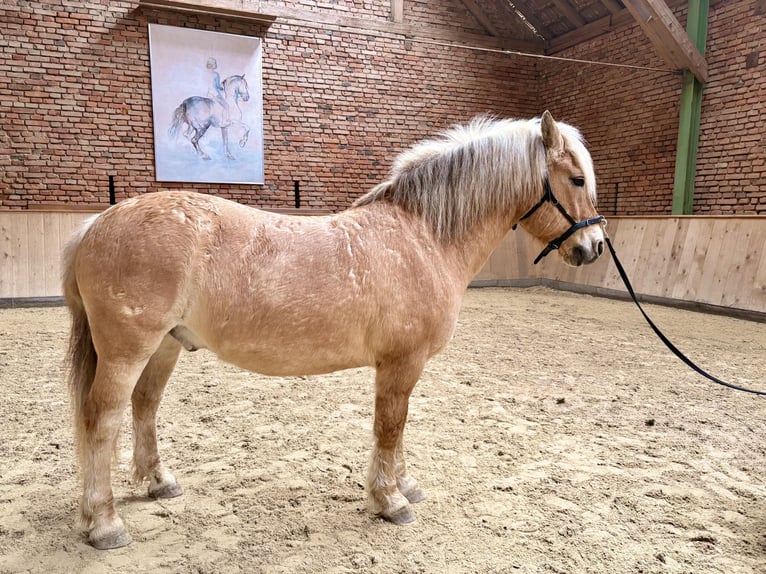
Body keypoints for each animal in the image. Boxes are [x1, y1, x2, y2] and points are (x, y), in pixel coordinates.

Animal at [63, 111, 606, 549]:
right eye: (577, 179)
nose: (594, 247)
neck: (423, 236)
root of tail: (95, 223)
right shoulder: (400, 363)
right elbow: (390, 426)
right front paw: (390, 501)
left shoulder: (404, 367)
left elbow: (399, 428)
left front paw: (405, 486)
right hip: (127, 352)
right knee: (101, 420)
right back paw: (104, 524)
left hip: (164, 347)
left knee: (145, 406)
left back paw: (158, 482)